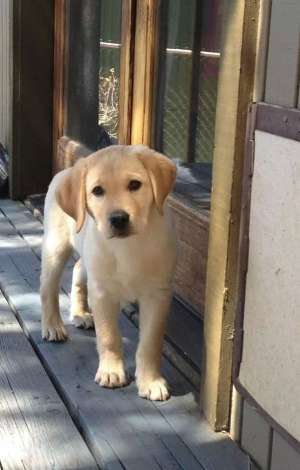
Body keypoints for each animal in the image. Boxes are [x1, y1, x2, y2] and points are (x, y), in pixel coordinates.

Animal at [39, 144, 176, 400]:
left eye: (135, 184)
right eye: (97, 191)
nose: (118, 218)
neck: (127, 247)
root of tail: (68, 169)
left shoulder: (157, 294)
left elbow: (151, 342)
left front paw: (150, 381)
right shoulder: (103, 292)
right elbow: (109, 335)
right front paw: (112, 371)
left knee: (78, 269)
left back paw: (80, 313)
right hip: (56, 246)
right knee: (47, 288)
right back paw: (53, 326)